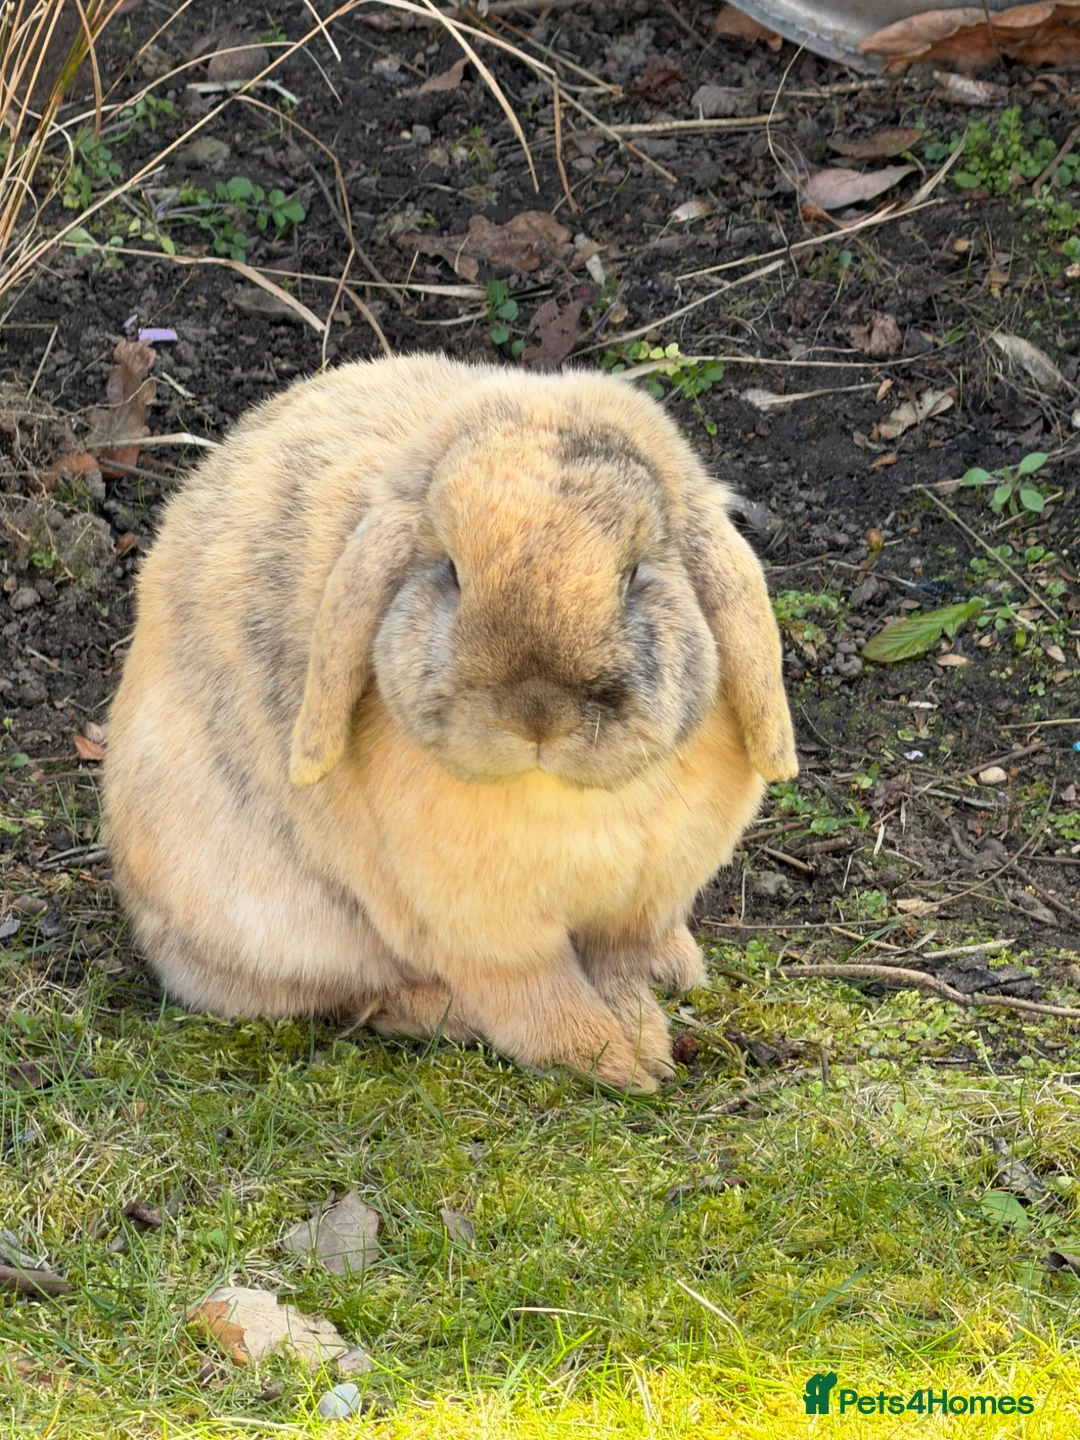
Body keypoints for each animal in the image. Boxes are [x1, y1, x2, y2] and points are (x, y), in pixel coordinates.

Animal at [102, 354, 797, 1093]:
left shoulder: (640, 903)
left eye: (636, 572)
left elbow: (618, 966)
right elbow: (534, 990)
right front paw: (614, 1060)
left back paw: (679, 965)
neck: (560, 795)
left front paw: (641, 1039)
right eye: (452, 572)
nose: (538, 715)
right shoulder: (485, 931)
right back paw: (446, 1013)